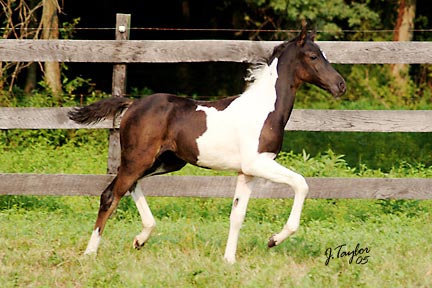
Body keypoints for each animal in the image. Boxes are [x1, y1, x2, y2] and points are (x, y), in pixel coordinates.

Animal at [71, 27, 348, 264]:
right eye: (313, 56)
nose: (341, 85)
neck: (265, 109)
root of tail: (132, 104)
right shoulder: (258, 163)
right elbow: (301, 184)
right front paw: (273, 240)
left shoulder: (247, 172)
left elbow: (237, 215)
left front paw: (229, 260)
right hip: (139, 158)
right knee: (110, 195)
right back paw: (90, 252)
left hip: (165, 162)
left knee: (130, 186)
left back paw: (141, 238)